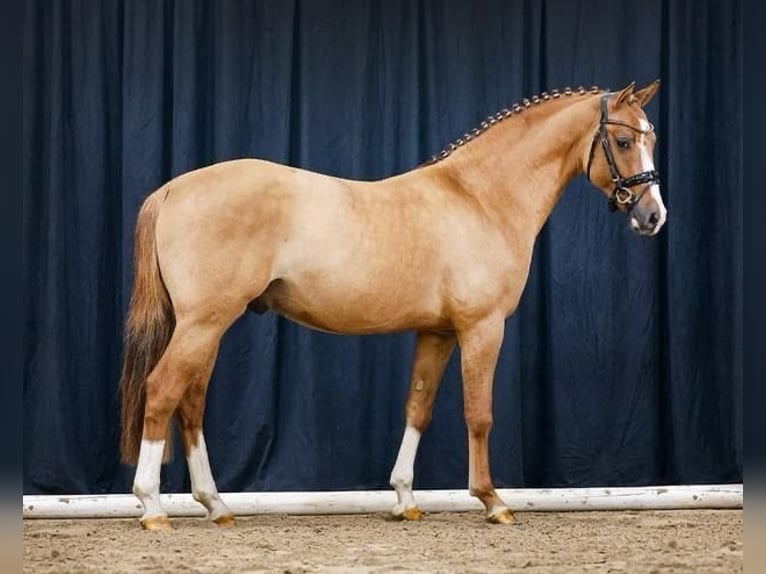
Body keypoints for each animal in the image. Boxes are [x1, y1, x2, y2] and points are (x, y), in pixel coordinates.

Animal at [119, 80, 666, 530]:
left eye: (652, 138)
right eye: (623, 142)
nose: (653, 216)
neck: (479, 198)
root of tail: (172, 190)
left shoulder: (437, 332)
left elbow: (417, 407)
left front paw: (405, 499)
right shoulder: (481, 328)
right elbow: (479, 413)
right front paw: (493, 501)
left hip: (206, 327)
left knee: (190, 402)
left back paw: (216, 505)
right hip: (204, 323)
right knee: (163, 390)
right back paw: (151, 507)